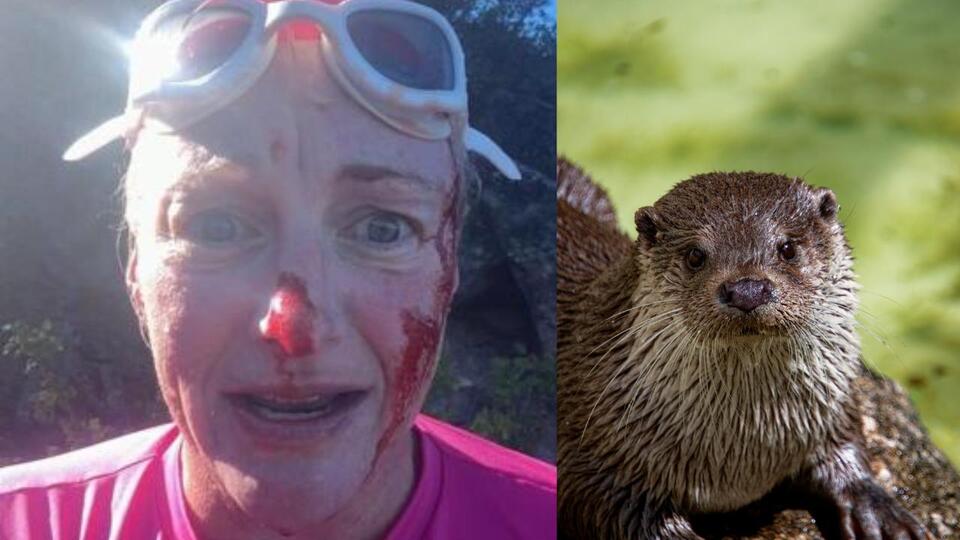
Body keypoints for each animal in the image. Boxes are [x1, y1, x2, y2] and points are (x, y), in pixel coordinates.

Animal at [557, 158, 929, 539]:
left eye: (787, 248)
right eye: (695, 255)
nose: (747, 290)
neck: (742, 457)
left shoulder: (830, 406)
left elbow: (846, 443)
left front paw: (877, 510)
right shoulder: (592, 457)